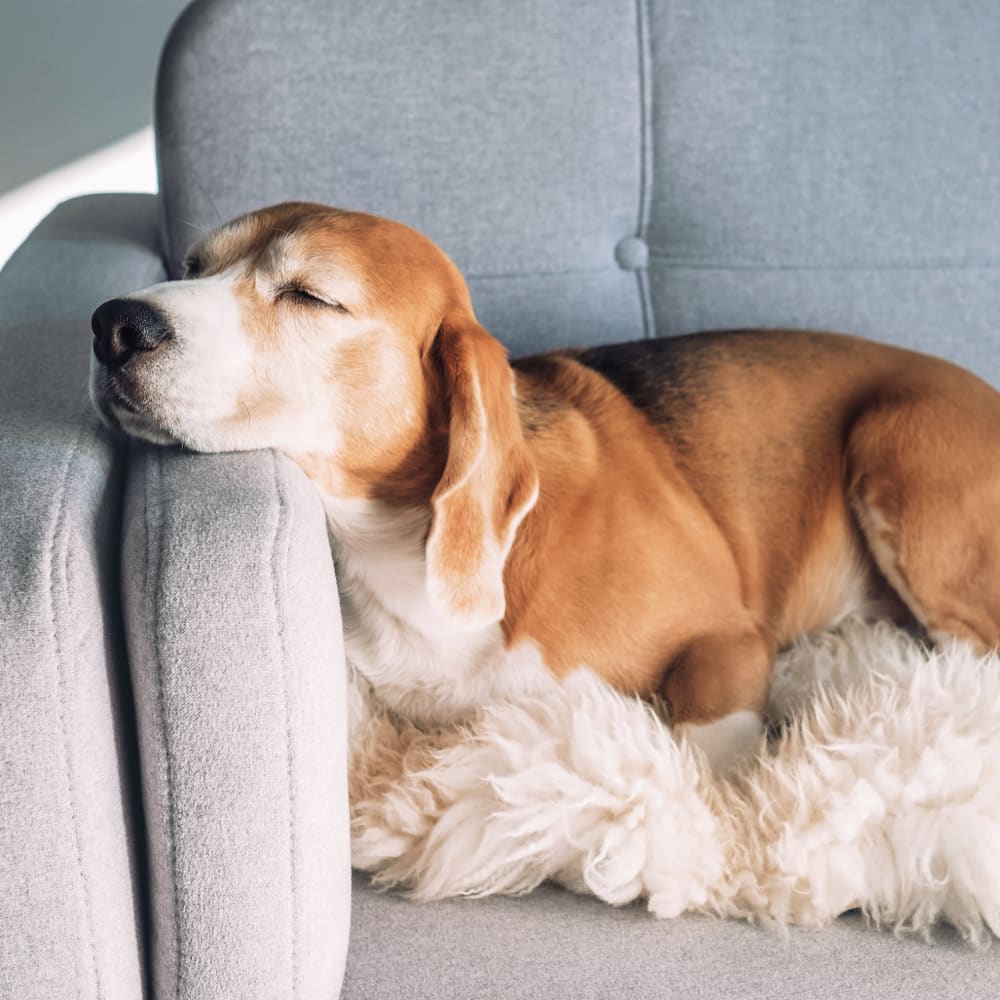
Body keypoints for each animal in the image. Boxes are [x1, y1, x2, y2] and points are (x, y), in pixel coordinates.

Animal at [90, 199, 1000, 768]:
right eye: (191, 264)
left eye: (311, 295)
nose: (112, 324)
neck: (394, 545)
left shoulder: (730, 640)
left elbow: (707, 751)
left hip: (898, 448)